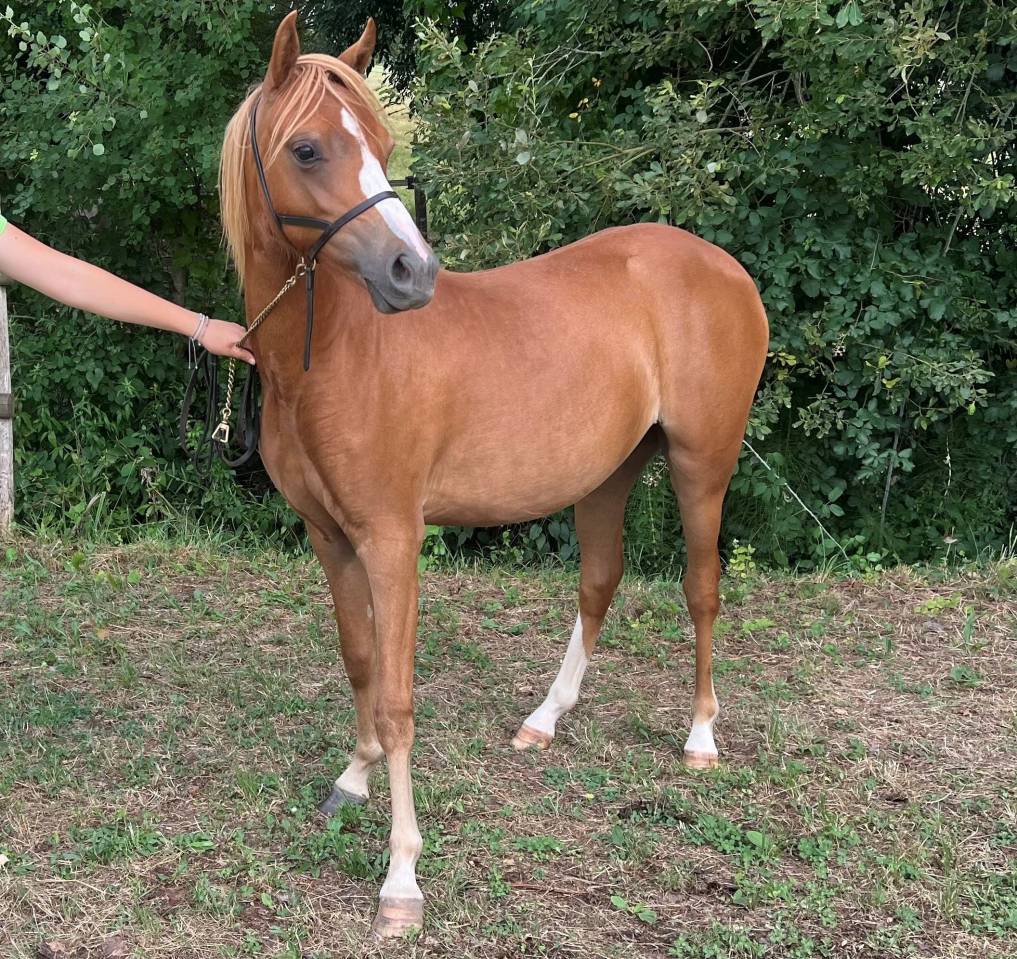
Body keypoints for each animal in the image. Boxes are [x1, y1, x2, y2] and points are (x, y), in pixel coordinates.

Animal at [219, 11, 769, 938]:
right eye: (307, 148)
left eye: (379, 141)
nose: (412, 274)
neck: (339, 355)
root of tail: (723, 266)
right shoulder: (329, 538)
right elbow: (359, 661)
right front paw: (352, 779)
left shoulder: (393, 540)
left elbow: (399, 697)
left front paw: (401, 878)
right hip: (608, 474)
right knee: (599, 579)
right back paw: (544, 720)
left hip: (703, 465)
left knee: (699, 588)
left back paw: (700, 736)